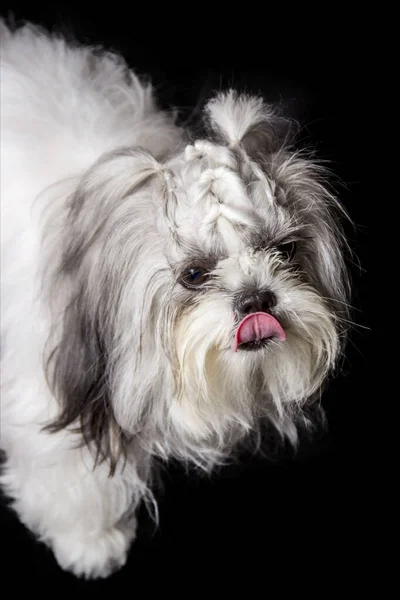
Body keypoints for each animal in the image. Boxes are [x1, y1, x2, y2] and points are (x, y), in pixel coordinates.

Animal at [0, 21, 350, 580]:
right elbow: (71, 475)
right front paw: (90, 542)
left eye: (284, 250)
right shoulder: (48, 389)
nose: (257, 297)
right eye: (194, 274)